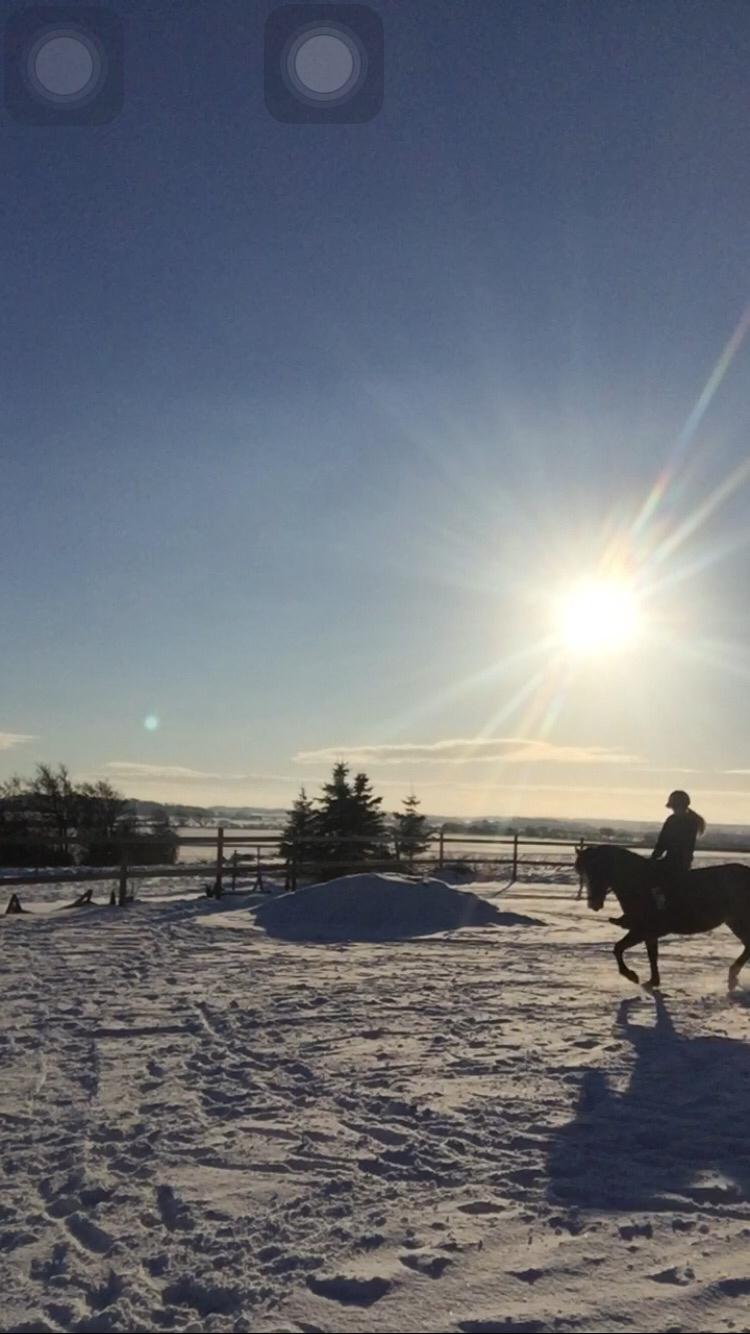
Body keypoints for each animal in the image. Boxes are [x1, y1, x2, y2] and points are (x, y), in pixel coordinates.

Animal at [573, 843, 750, 992]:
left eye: (597, 869)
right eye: (582, 872)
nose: (593, 904)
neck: (640, 884)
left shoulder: (642, 930)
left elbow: (618, 948)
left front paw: (631, 975)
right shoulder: (648, 933)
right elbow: (651, 955)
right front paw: (653, 981)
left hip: (740, 922)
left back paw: (732, 976)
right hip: (735, 922)